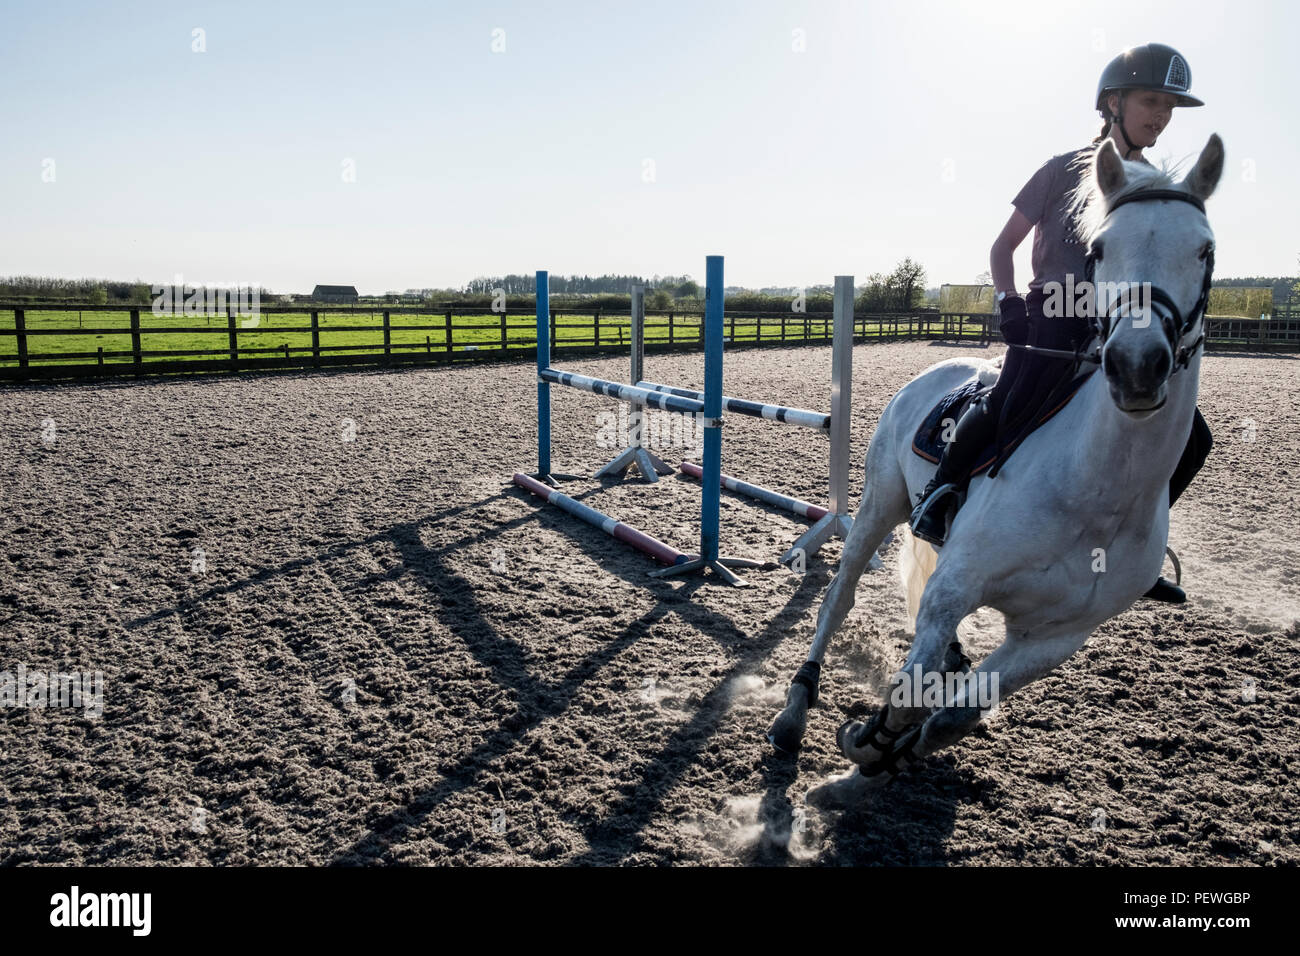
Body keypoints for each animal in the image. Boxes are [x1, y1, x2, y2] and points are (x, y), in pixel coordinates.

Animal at [767, 133, 1224, 807]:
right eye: (1099, 248)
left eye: (1204, 249)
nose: (1137, 365)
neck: (1096, 493)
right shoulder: (953, 589)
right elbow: (911, 695)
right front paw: (866, 745)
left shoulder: (1052, 640)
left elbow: (952, 717)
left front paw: (875, 764)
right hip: (878, 506)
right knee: (838, 597)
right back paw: (794, 711)